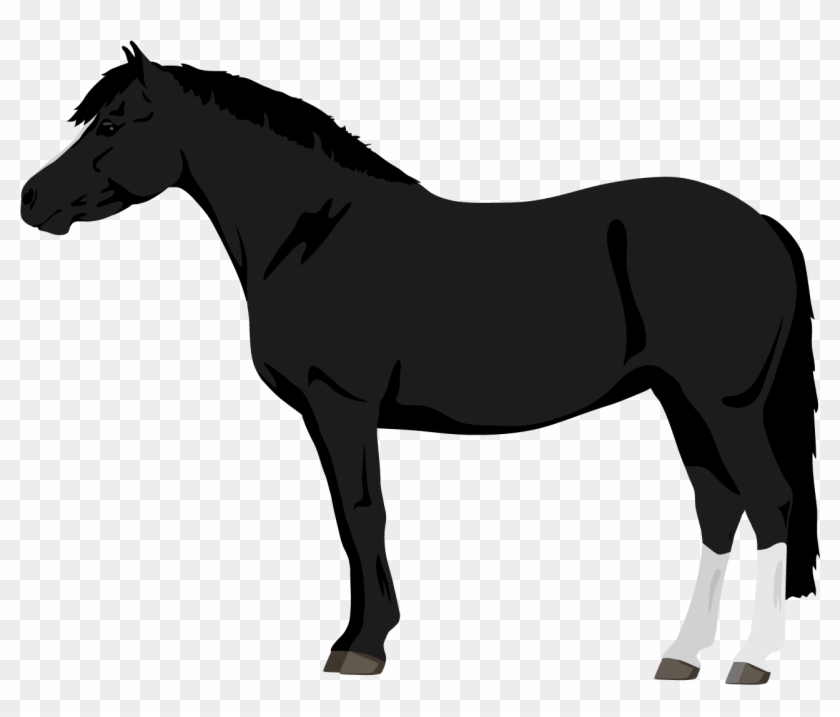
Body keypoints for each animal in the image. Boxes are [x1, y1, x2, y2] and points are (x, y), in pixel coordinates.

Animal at [21, 43, 818, 683]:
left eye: (113, 124)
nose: (32, 200)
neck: (316, 234)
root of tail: (762, 225)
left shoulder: (341, 406)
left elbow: (360, 514)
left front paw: (361, 645)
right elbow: (353, 517)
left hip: (724, 403)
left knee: (769, 503)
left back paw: (754, 661)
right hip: (678, 399)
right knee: (719, 506)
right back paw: (682, 655)